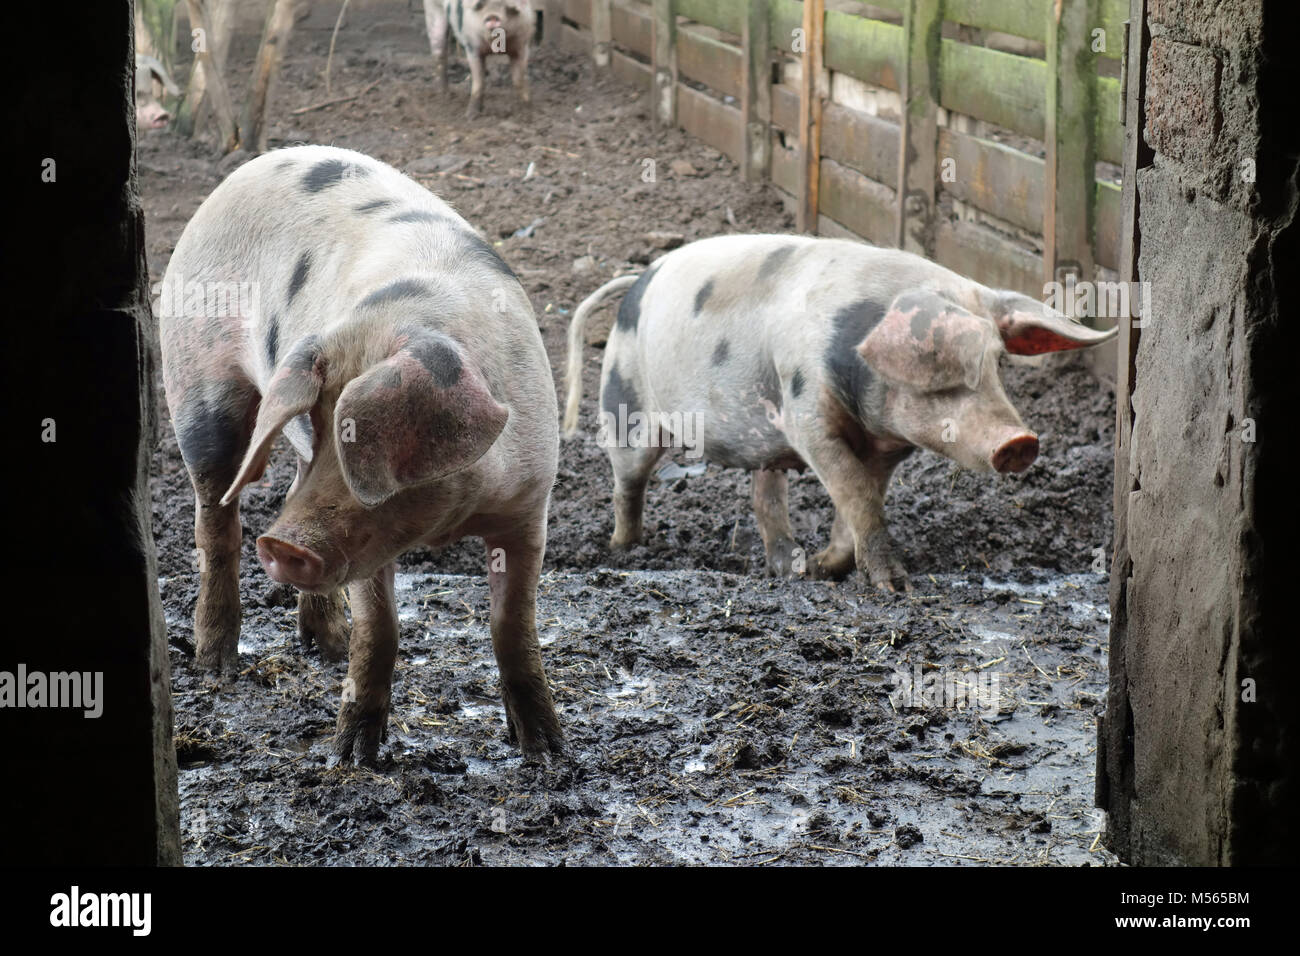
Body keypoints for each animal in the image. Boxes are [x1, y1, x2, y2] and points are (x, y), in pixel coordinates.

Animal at [160, 145, 562, 764]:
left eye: (359, 443)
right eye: (313, 419)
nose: (282, 545)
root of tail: (248, 167)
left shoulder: (529, 502)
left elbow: (512, 625)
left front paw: (547, 753)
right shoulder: (365, 543)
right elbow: (380, 630)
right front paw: (351, 759)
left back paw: (327, 645)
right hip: (195, 382)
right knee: (216, 518)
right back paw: (217, 666)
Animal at [562, 235, 1116, 590]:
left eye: (998, 362)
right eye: (948, 372)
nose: (1020, 442)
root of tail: (639, 277)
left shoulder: (886, 448)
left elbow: (857, 503)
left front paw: (825, 568)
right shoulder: (807, 417)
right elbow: (856, 495)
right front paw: (896, 589)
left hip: (761, 441)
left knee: (765, 494)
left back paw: (788, 567)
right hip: (624, 403)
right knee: (627, 481)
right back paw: (622, 549)